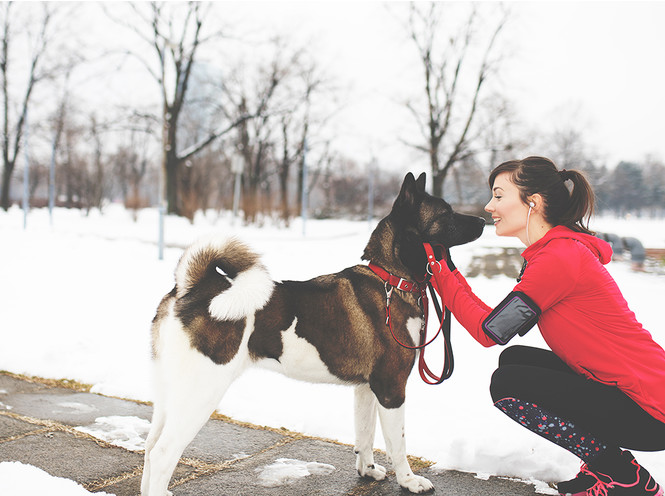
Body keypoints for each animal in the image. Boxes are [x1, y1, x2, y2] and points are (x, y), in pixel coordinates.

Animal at [141, 172, 482, 494]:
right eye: (446, 214)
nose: (482, 219)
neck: (390, 279)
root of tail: (190, 289)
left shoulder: (366, 389)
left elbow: (365, 434)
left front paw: (368, 470)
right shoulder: (391, 388)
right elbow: (397, 443)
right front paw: (409, 481)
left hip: (170, 393)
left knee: (150, 446)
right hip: (200, 393)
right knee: (163, 453)